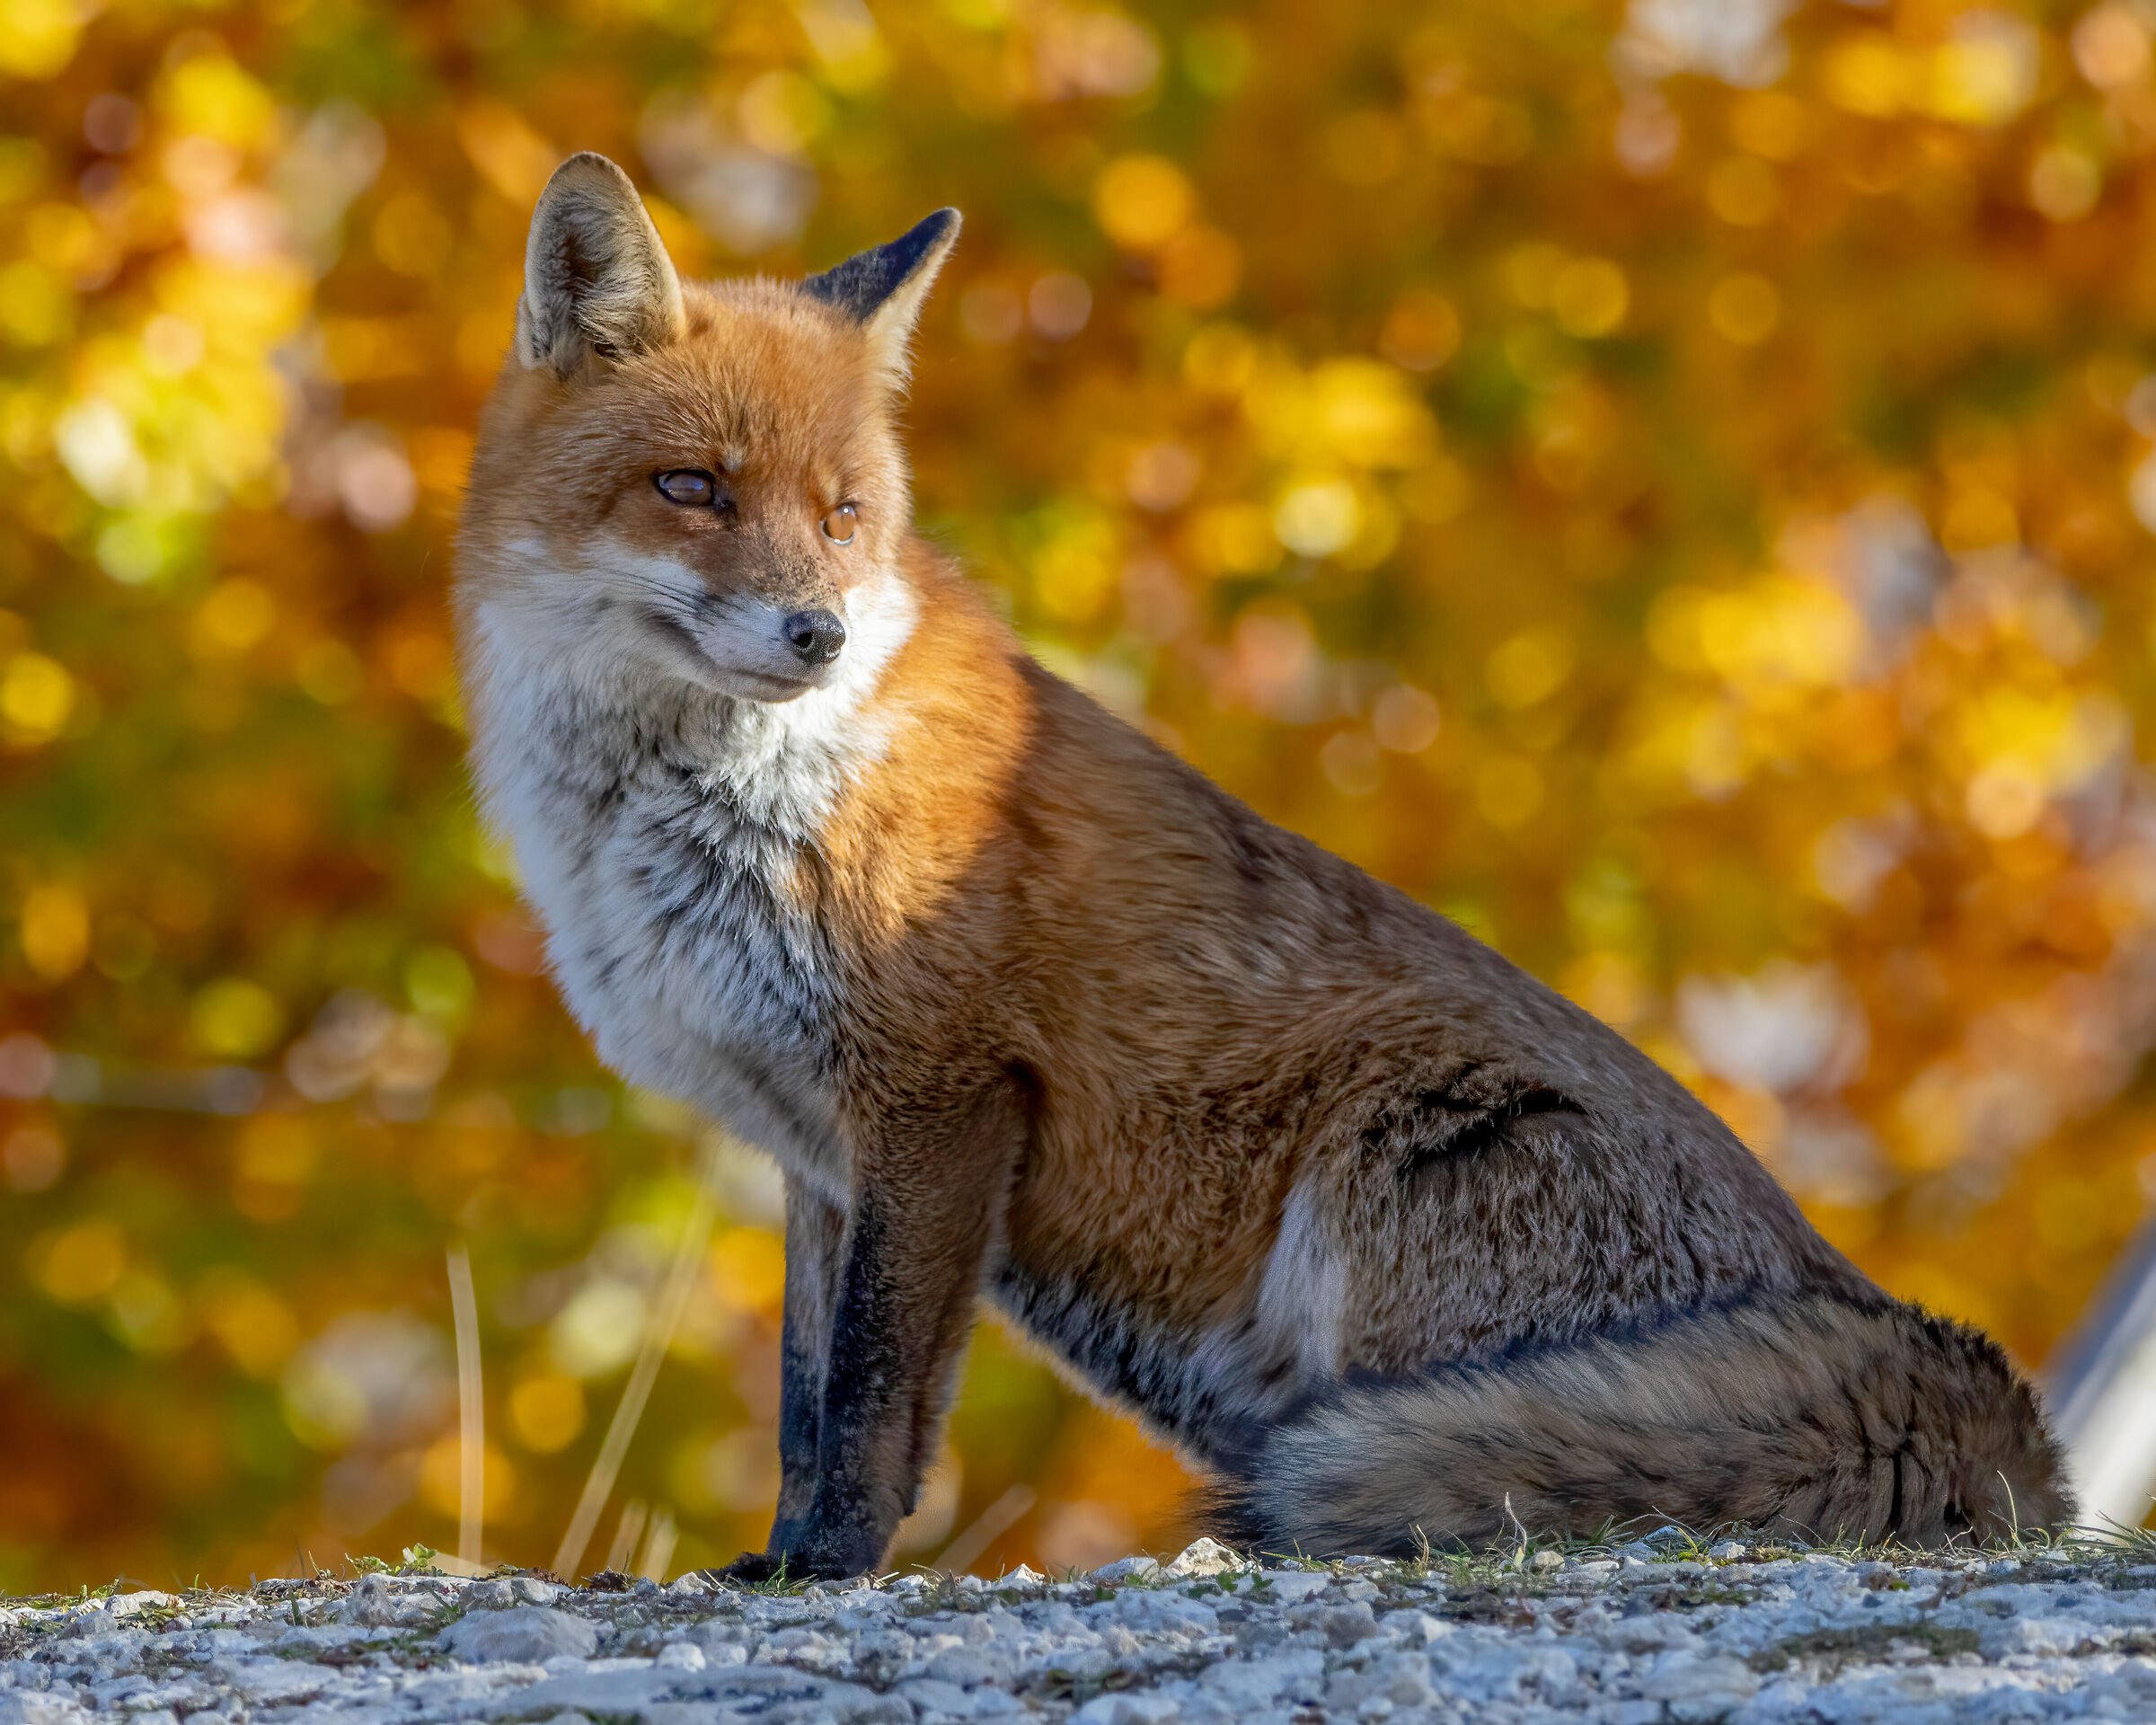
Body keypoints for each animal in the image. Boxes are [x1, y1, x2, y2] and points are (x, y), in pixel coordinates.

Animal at [454, 152, 2072, 1581]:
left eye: (845, 515)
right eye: (692, 489)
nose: (820, 635)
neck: (679, 814)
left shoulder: (940, 1093)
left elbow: (869, 1405)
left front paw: (827, 1571)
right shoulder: (819, 1150)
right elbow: (803, 1405)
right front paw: (777, 1555)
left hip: (1392, 1184)